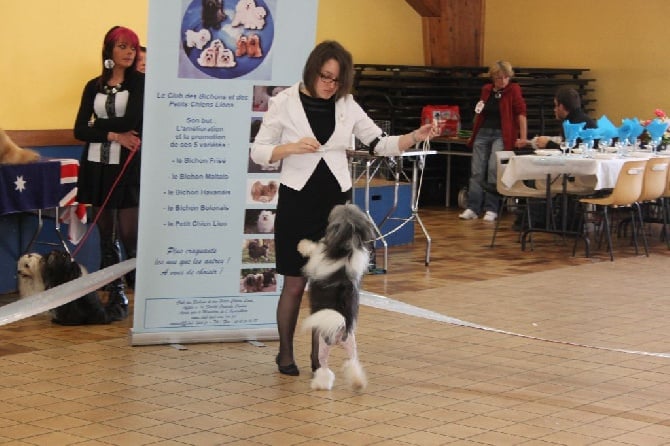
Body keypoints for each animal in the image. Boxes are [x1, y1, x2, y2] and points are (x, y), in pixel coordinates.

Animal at [300, 203, 376, 390]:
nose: (345, 203)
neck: (347, 250)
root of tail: (340, 328)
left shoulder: (317, 258)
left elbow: (313, 250)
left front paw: (303, 245)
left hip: (323, 347)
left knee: (324, 369)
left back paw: (319, 384)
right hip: (351, 346)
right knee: (353, 364)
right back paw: (358, 383)